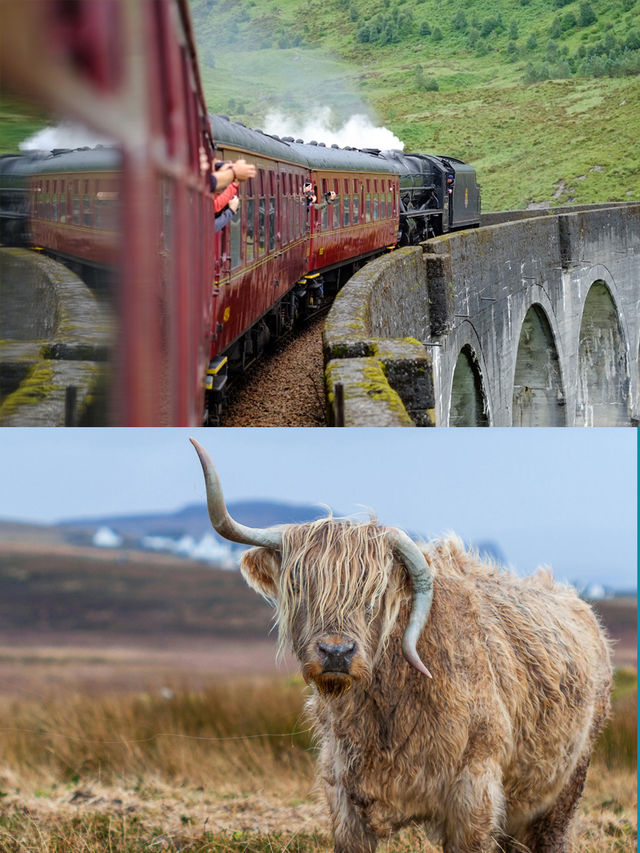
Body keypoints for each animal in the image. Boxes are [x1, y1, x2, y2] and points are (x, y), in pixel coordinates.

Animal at [192, 440, 612, 852]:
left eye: (375, 593)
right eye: (300, 585)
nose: (336, 653)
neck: (386, 708)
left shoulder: (475, 790)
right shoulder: (343, 793)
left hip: (568, 783)